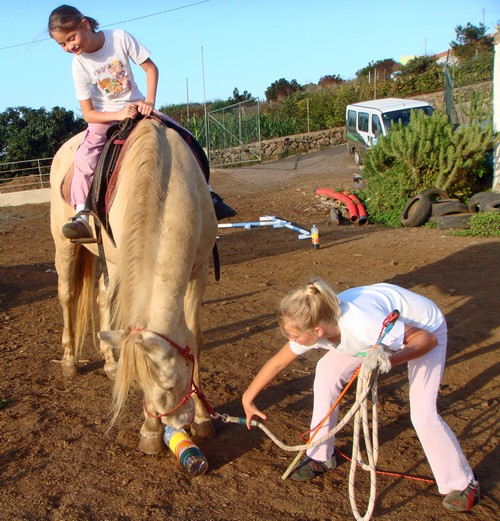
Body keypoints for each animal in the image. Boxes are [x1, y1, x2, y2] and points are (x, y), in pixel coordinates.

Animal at [50, 120, 219, 452]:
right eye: (140, 383)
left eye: (171, 384)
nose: (176, 422)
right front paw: (151, 431)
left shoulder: (200, 268)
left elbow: (196, 337)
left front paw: (203, 417)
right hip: (66, 247)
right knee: (67, 296)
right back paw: (69, 361)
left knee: (102, 299)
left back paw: (109, 361)